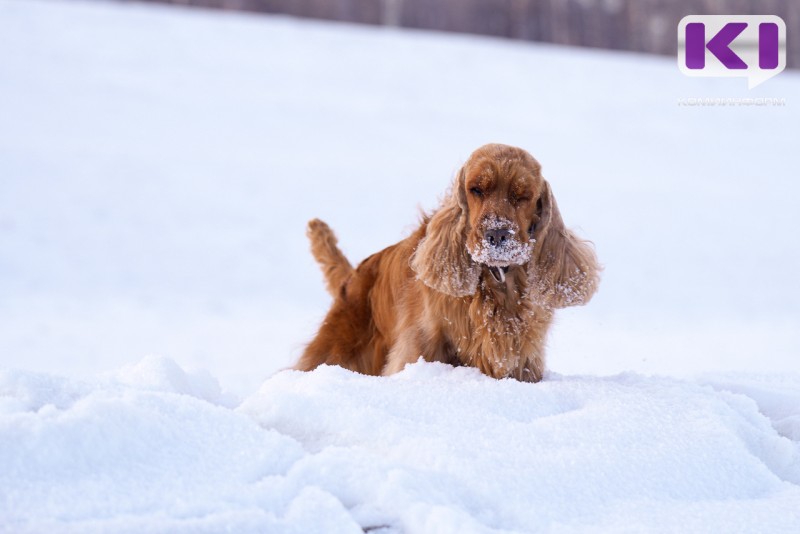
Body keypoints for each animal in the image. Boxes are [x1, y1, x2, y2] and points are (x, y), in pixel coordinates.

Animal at [294, 144, 600, 384]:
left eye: (522, 195)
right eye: (476, 189)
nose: (497, 234)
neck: (496, 285)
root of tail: (353, 277)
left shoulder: (524, 359)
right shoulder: (421, 346)